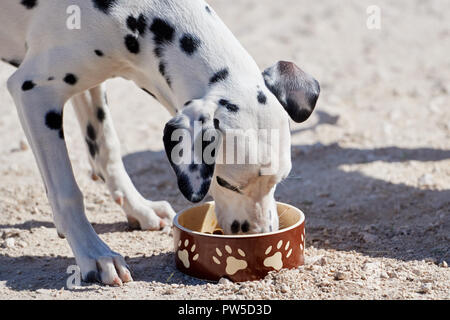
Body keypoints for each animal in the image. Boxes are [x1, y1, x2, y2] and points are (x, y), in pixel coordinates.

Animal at [0, 0, 318, 284]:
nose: (260, 234)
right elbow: (67, 192)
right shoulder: (34, 93)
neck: (131, 14)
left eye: (278, 181)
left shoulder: (90, 84)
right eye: (226, 183)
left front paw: (138, 207)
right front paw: (93, 254)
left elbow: (106, 149)